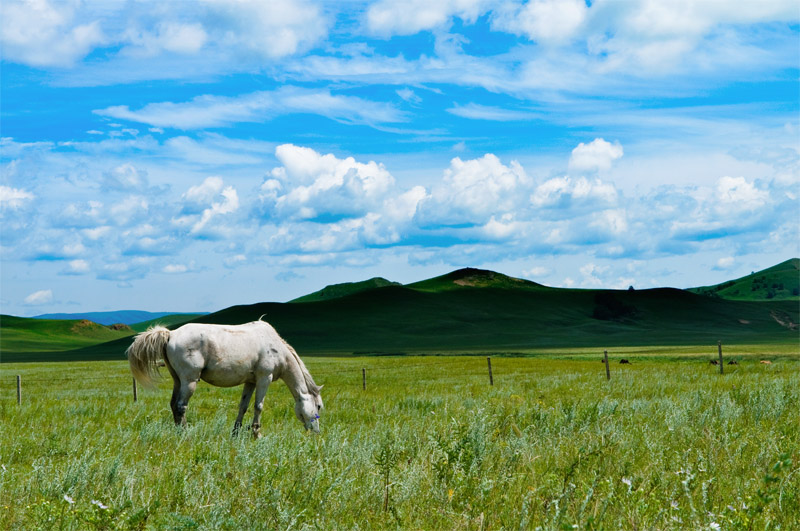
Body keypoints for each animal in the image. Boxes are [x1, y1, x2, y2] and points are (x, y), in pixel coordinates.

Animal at [128, 320, 322, 436]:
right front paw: (256, 433)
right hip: (189, 381)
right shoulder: (264, 378)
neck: (276, 348)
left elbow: (243, 406)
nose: (316, 433)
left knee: (173, 404)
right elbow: (258, 406)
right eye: (319, 406)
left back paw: (178, 432)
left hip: (178, 381)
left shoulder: (250, 382)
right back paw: (185, 433)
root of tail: (171, 334)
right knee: (181, 406)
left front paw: (236, 432)